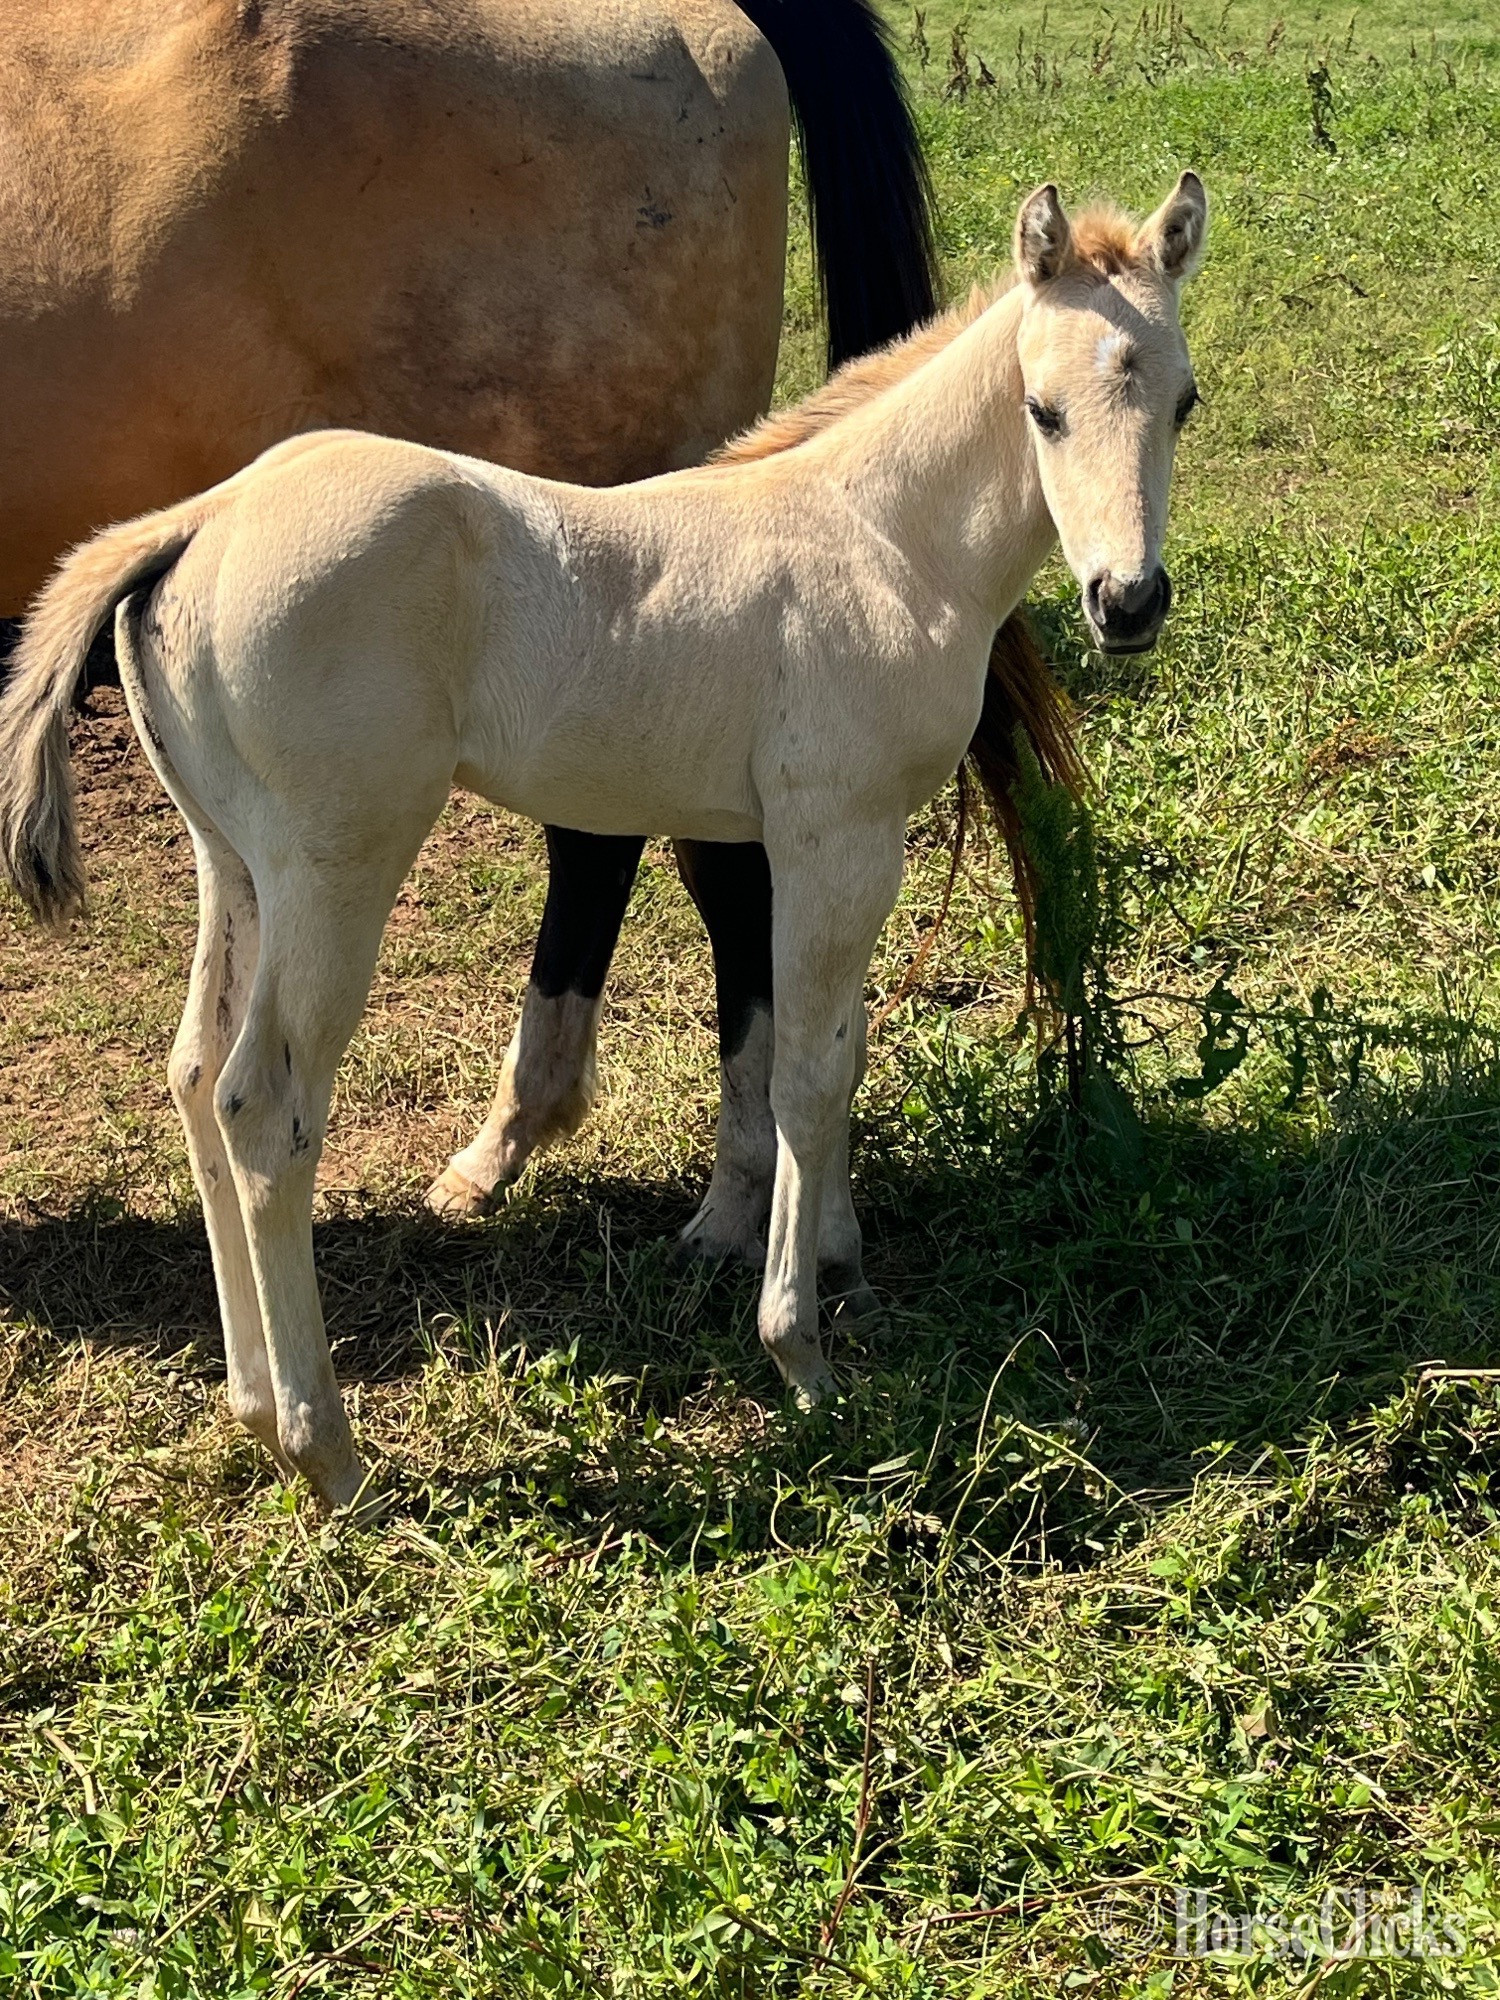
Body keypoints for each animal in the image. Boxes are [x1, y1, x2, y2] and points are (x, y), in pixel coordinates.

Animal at [0, 174, 1206, 1508]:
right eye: (1042, 409)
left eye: (1183, 400)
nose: (1127, 603)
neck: (881, 541)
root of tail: (198, 519)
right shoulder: (832, 837)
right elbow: (805, 1073)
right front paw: (799, 1350)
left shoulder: (842, 843)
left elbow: (838, 1051)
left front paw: (838, 1262)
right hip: (336, 865)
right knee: (264, 1103)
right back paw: (327, 1450)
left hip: (238, 864)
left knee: (194, 1074)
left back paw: (256, 1404)